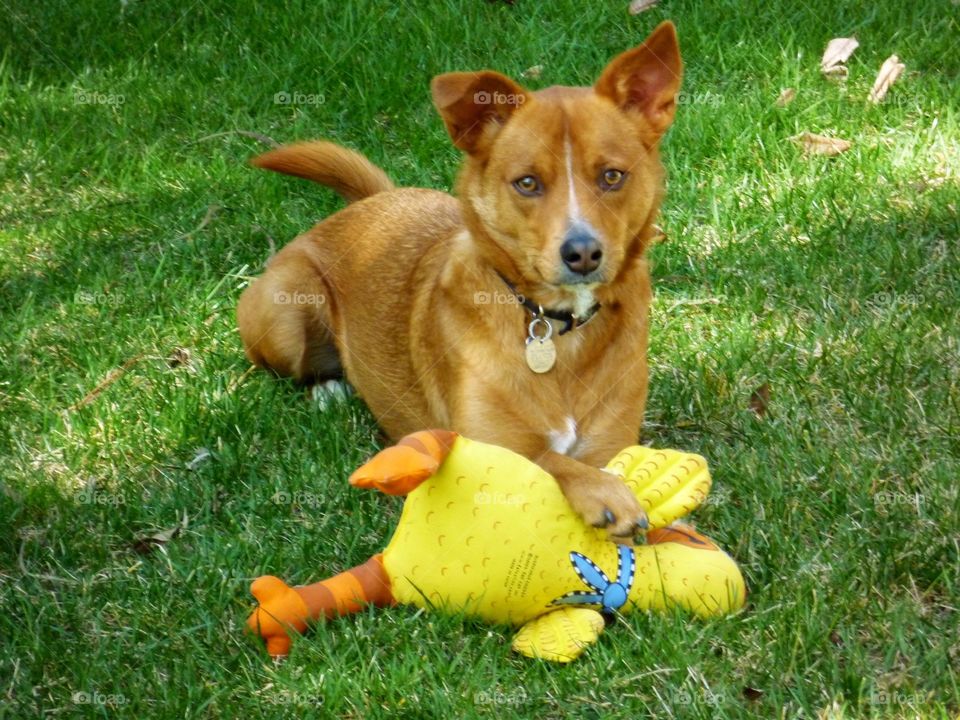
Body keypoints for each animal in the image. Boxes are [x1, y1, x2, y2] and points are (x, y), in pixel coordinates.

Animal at [239, 21, 684, 540]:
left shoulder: (610, 444)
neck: (554, 327)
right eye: (527, 183)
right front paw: (605, 493)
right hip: (284, 316)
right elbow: (548, 461)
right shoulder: (483, 446)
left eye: (612, 176)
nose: (583, 253)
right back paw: (329, 388)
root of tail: (372, 201)